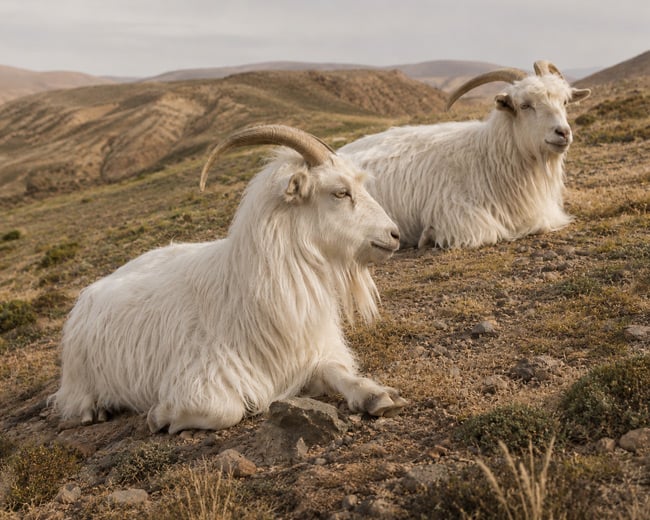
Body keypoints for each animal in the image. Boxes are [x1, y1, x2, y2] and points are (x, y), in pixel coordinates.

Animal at [51, 124, 406, 434]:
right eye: (340, 192)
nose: (395, 235)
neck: (244, 294)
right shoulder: (202, 376)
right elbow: (226, 411)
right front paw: (161, 416)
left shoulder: (308, 356)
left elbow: (339, 372)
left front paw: (376, 395)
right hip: (80, 380)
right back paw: (95, 410)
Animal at [339, 60, 591, 248]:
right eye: (525, 105)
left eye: (565, 102)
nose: (562, 132)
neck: (486, 158)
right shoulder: (456, 213)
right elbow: (492, 231)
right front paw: (428, 236)